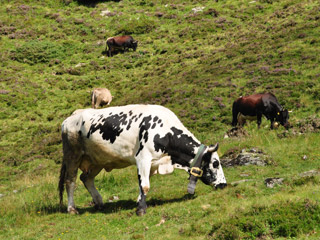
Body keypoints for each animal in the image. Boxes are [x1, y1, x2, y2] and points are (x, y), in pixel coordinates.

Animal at [58, 104, 228, 216]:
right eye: (215, 163)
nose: (223, 185)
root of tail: (71, 117)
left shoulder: (152, 163)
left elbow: (142, 185)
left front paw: (139, 202)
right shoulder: (143, 158)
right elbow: (145, 185)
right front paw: (141, 209)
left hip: (97, 160)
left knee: (86, 178)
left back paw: (99, 202)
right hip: (72, 155)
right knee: (70, 181)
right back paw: (72, 209)